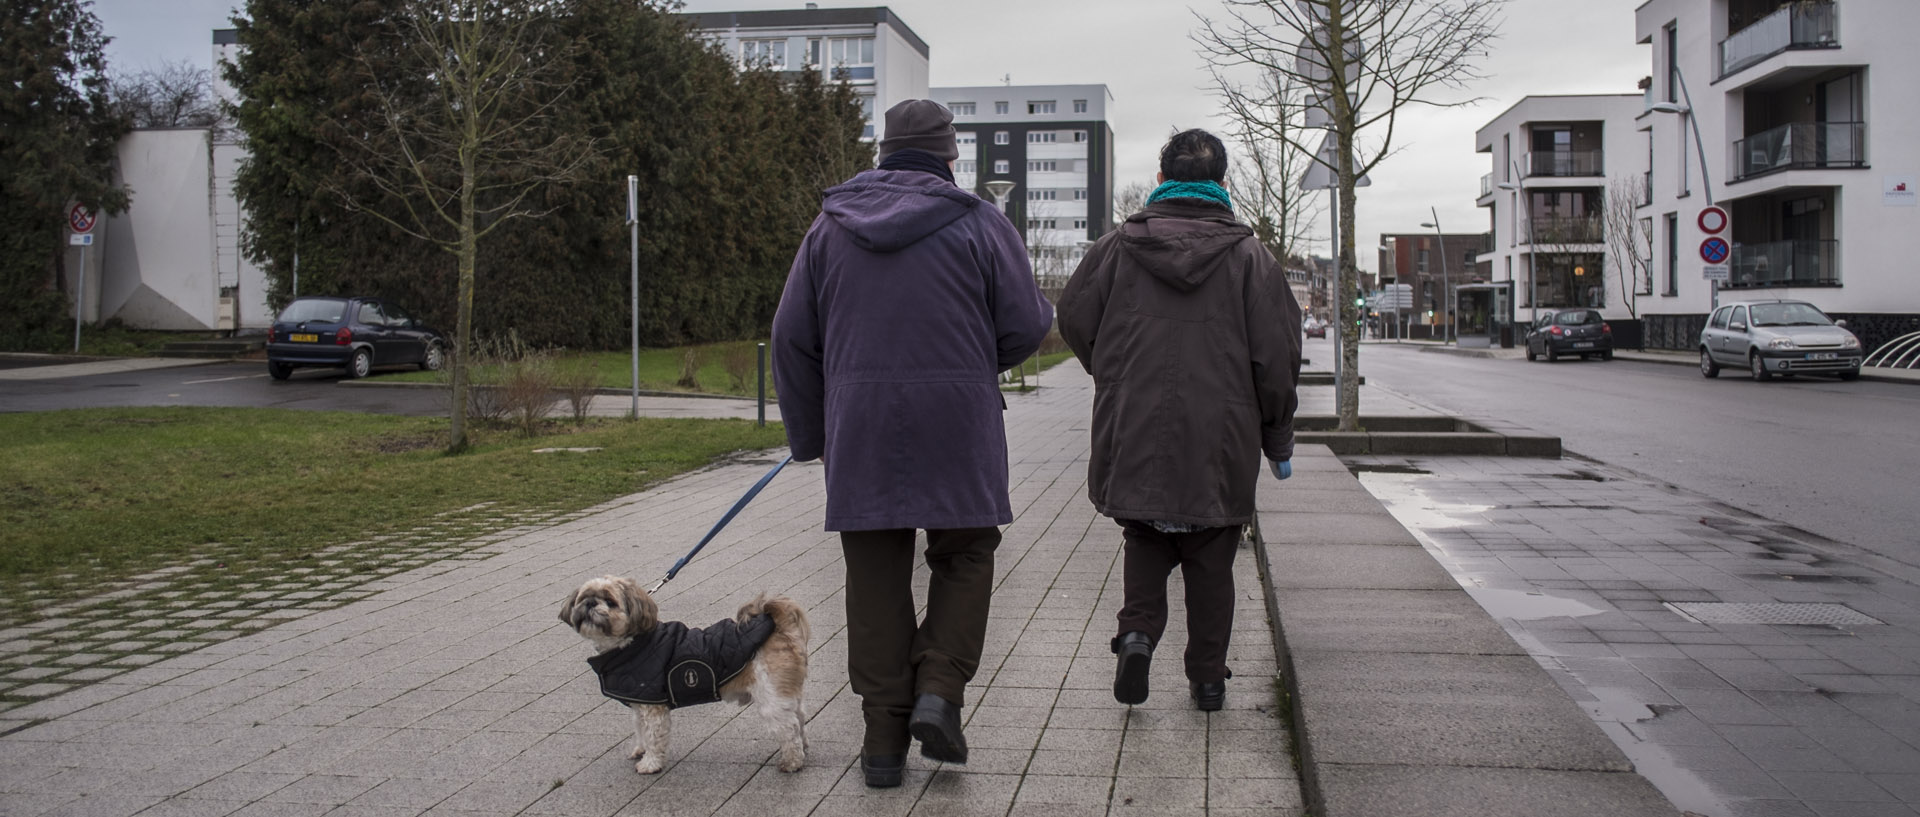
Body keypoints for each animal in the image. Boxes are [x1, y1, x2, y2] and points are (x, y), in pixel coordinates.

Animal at [556, 575, 810, 770]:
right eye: (584, 597)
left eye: (610, 601)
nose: (590, 603)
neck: (631, 644)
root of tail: (777, 626)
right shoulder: (639, 705)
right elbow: (640, 731)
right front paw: (640, 750)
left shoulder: (654, 708)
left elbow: (653, 737)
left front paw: (650, 764)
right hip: (784, 695)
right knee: (799, 719)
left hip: (771, 698)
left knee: (788, 730)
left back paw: (792, 762)